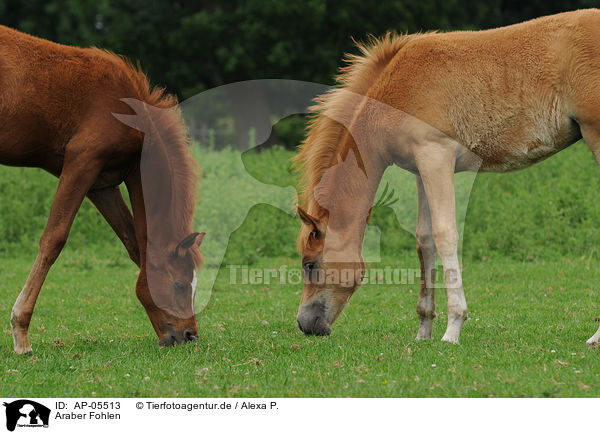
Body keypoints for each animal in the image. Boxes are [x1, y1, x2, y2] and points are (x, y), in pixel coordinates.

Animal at [0, 25, 204, 354]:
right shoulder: (82, 162)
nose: (189, 335)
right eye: (180, 285)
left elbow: (134, 244)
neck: (128, 112)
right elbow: (53, 239)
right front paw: (21, 334)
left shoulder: (103, 184)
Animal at [292, 8, 600, 344]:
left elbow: (445, 234)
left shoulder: (436, 157)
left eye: (310, 264)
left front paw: (453, 328)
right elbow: (424, 239)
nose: (305, 324)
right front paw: (423, 331)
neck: (396, 90)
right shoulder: (420, 168)